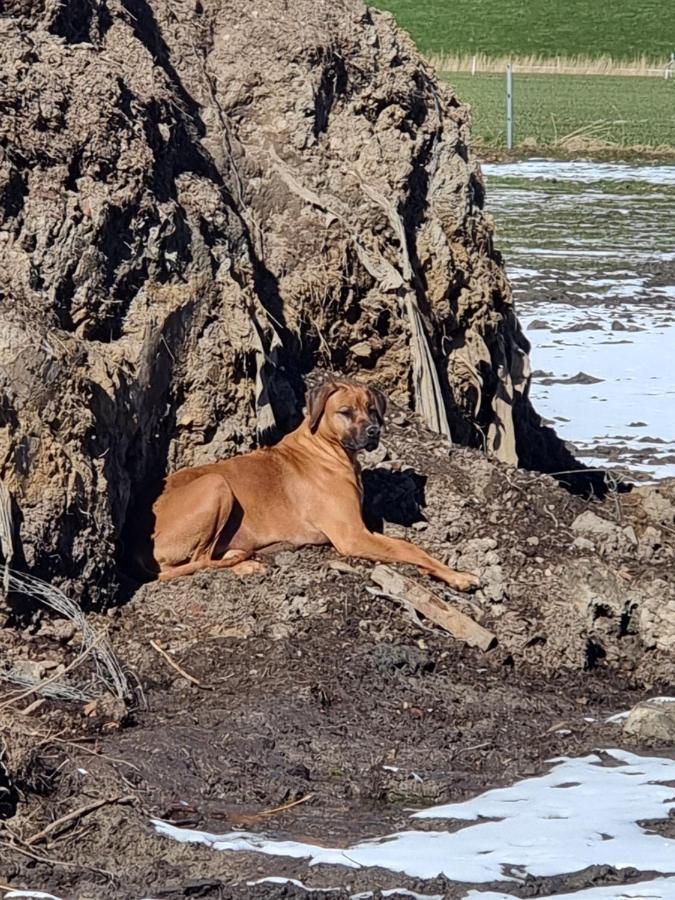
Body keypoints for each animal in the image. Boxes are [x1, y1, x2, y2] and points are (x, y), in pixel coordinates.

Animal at [147, 378, 480, 592]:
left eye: (372, 410)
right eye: (345, 412)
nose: (374, 431)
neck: (325, 448)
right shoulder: (352, 536)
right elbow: (409, 548)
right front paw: (458, 576)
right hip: (215, 484)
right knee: (199, 560)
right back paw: (241, 562)